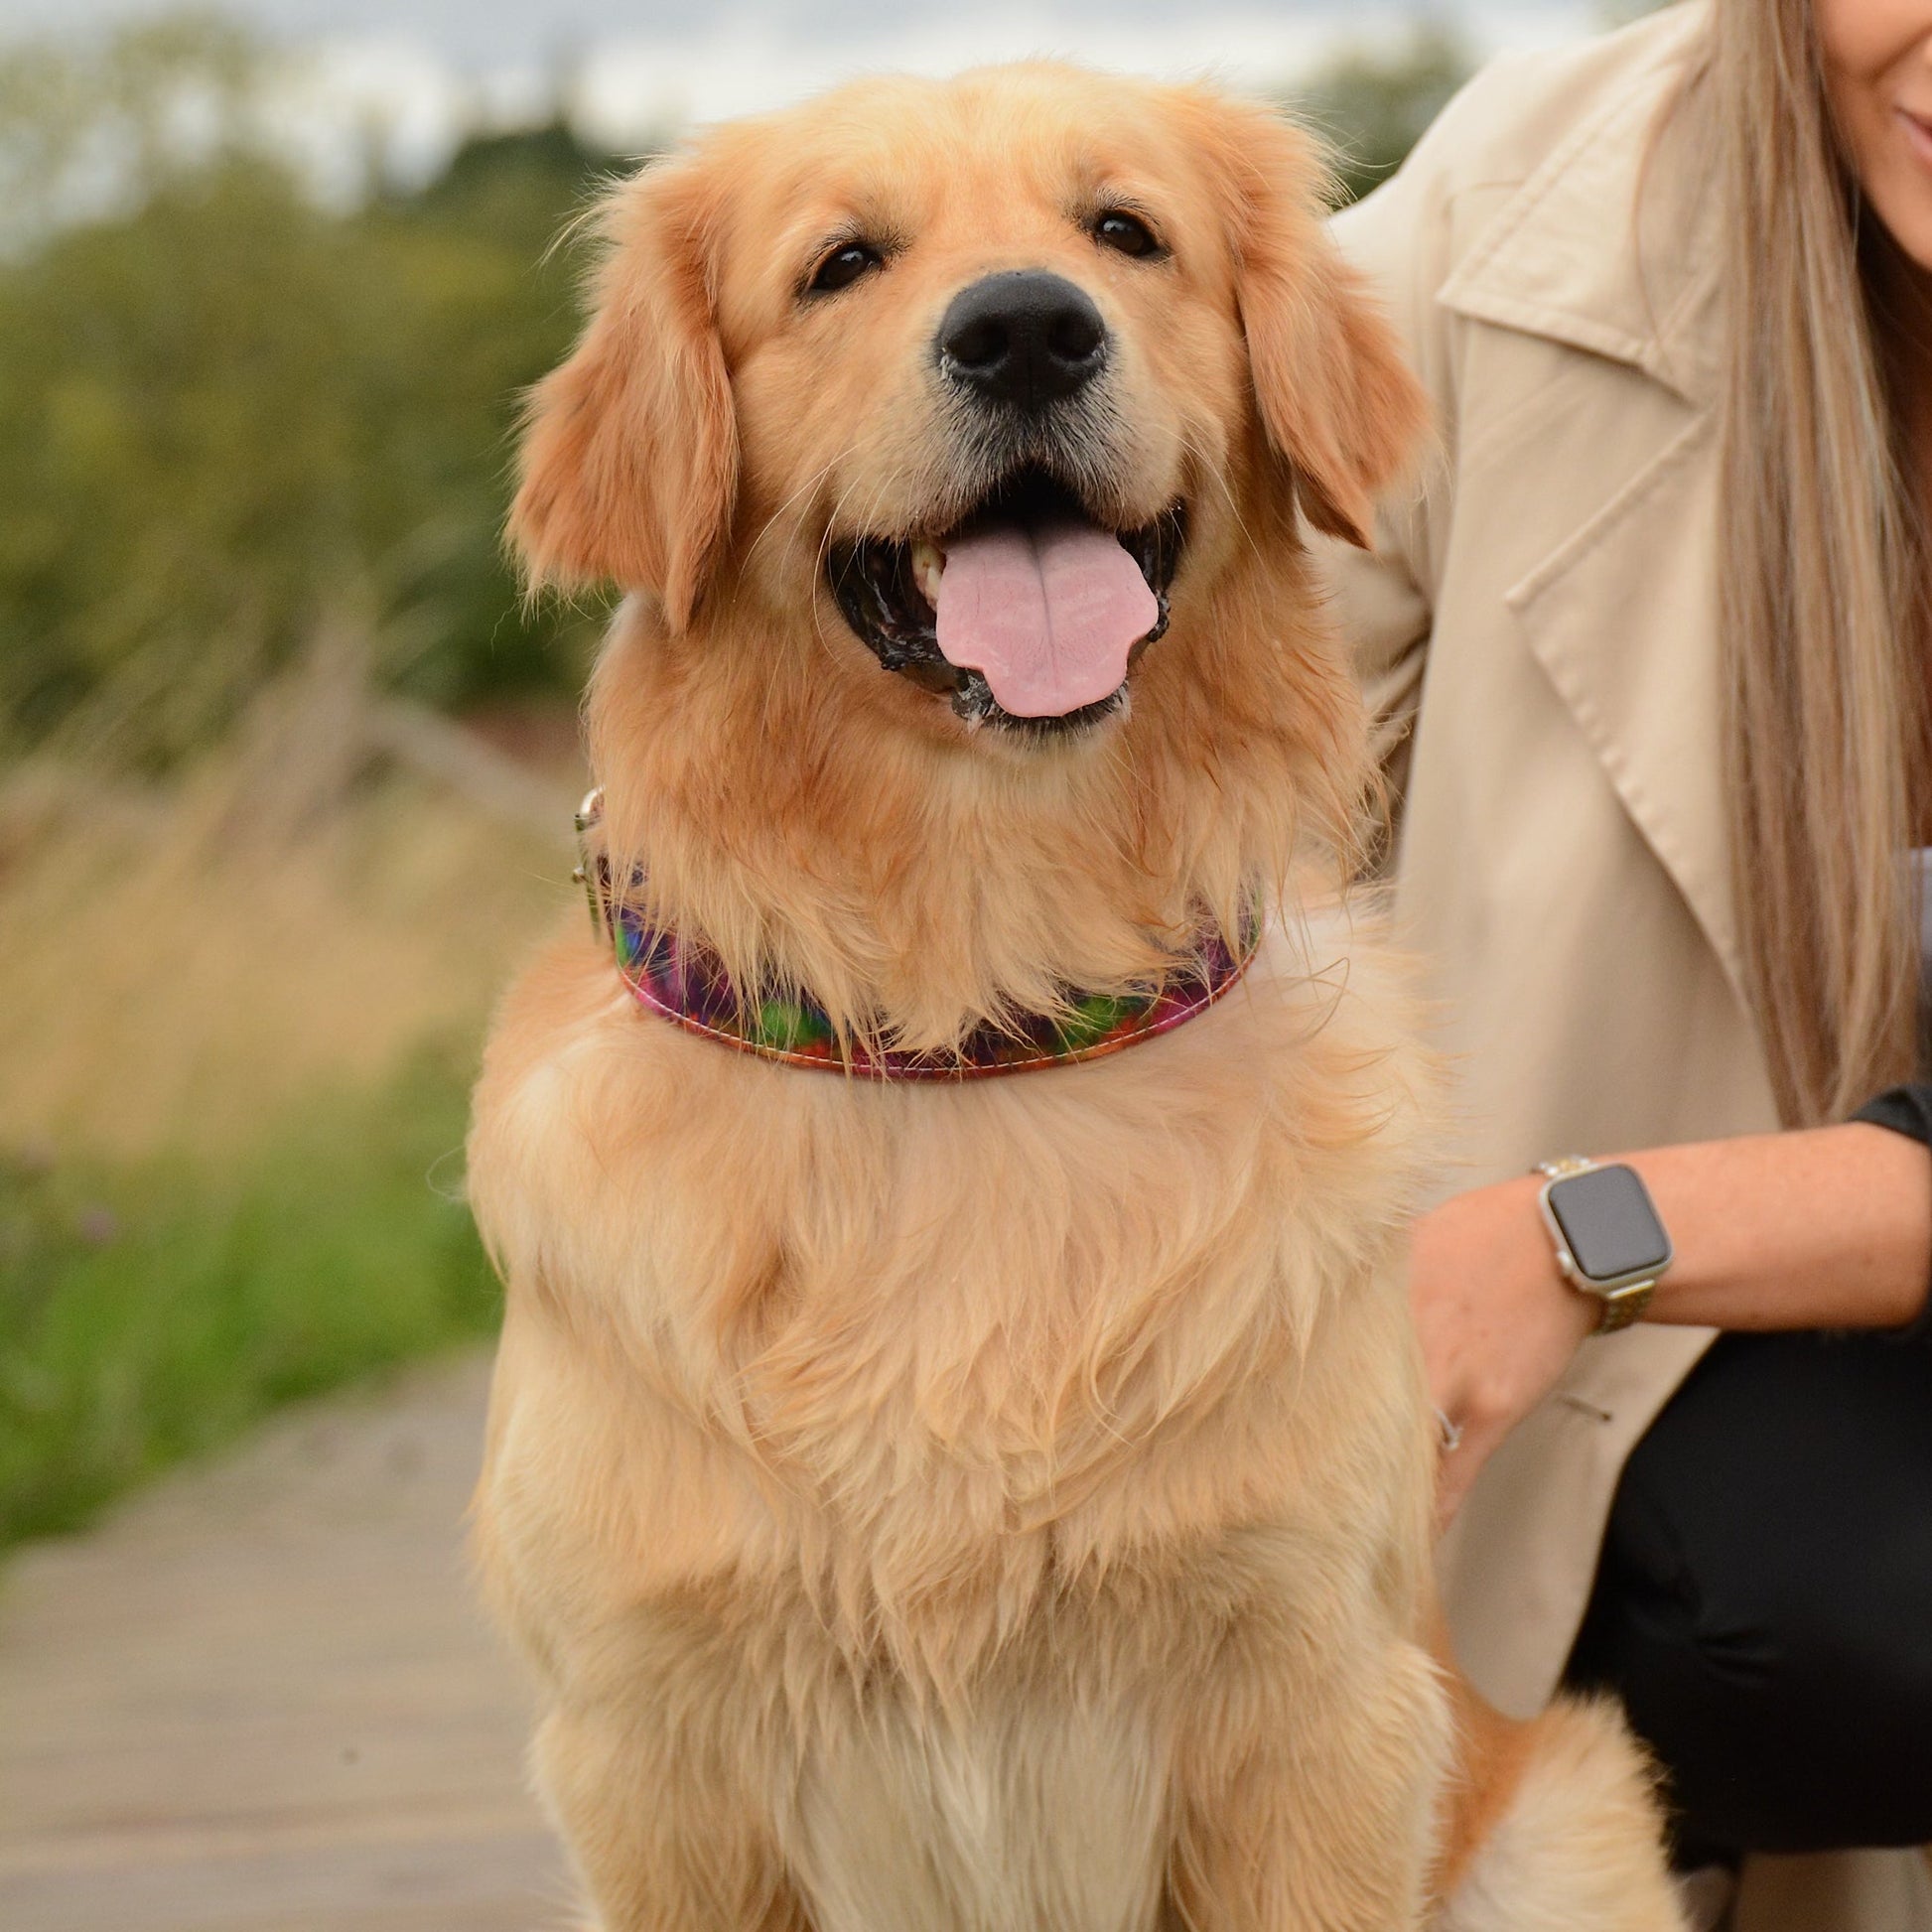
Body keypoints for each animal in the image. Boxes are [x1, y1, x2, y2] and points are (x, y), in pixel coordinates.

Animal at [471, 60, 1692, 1932]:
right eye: (839, 264)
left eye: (1126, 231)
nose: (1029, 331)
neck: (982, 1031)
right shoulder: (649, 1750)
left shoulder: (1312, 1709)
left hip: (1560, 1819)